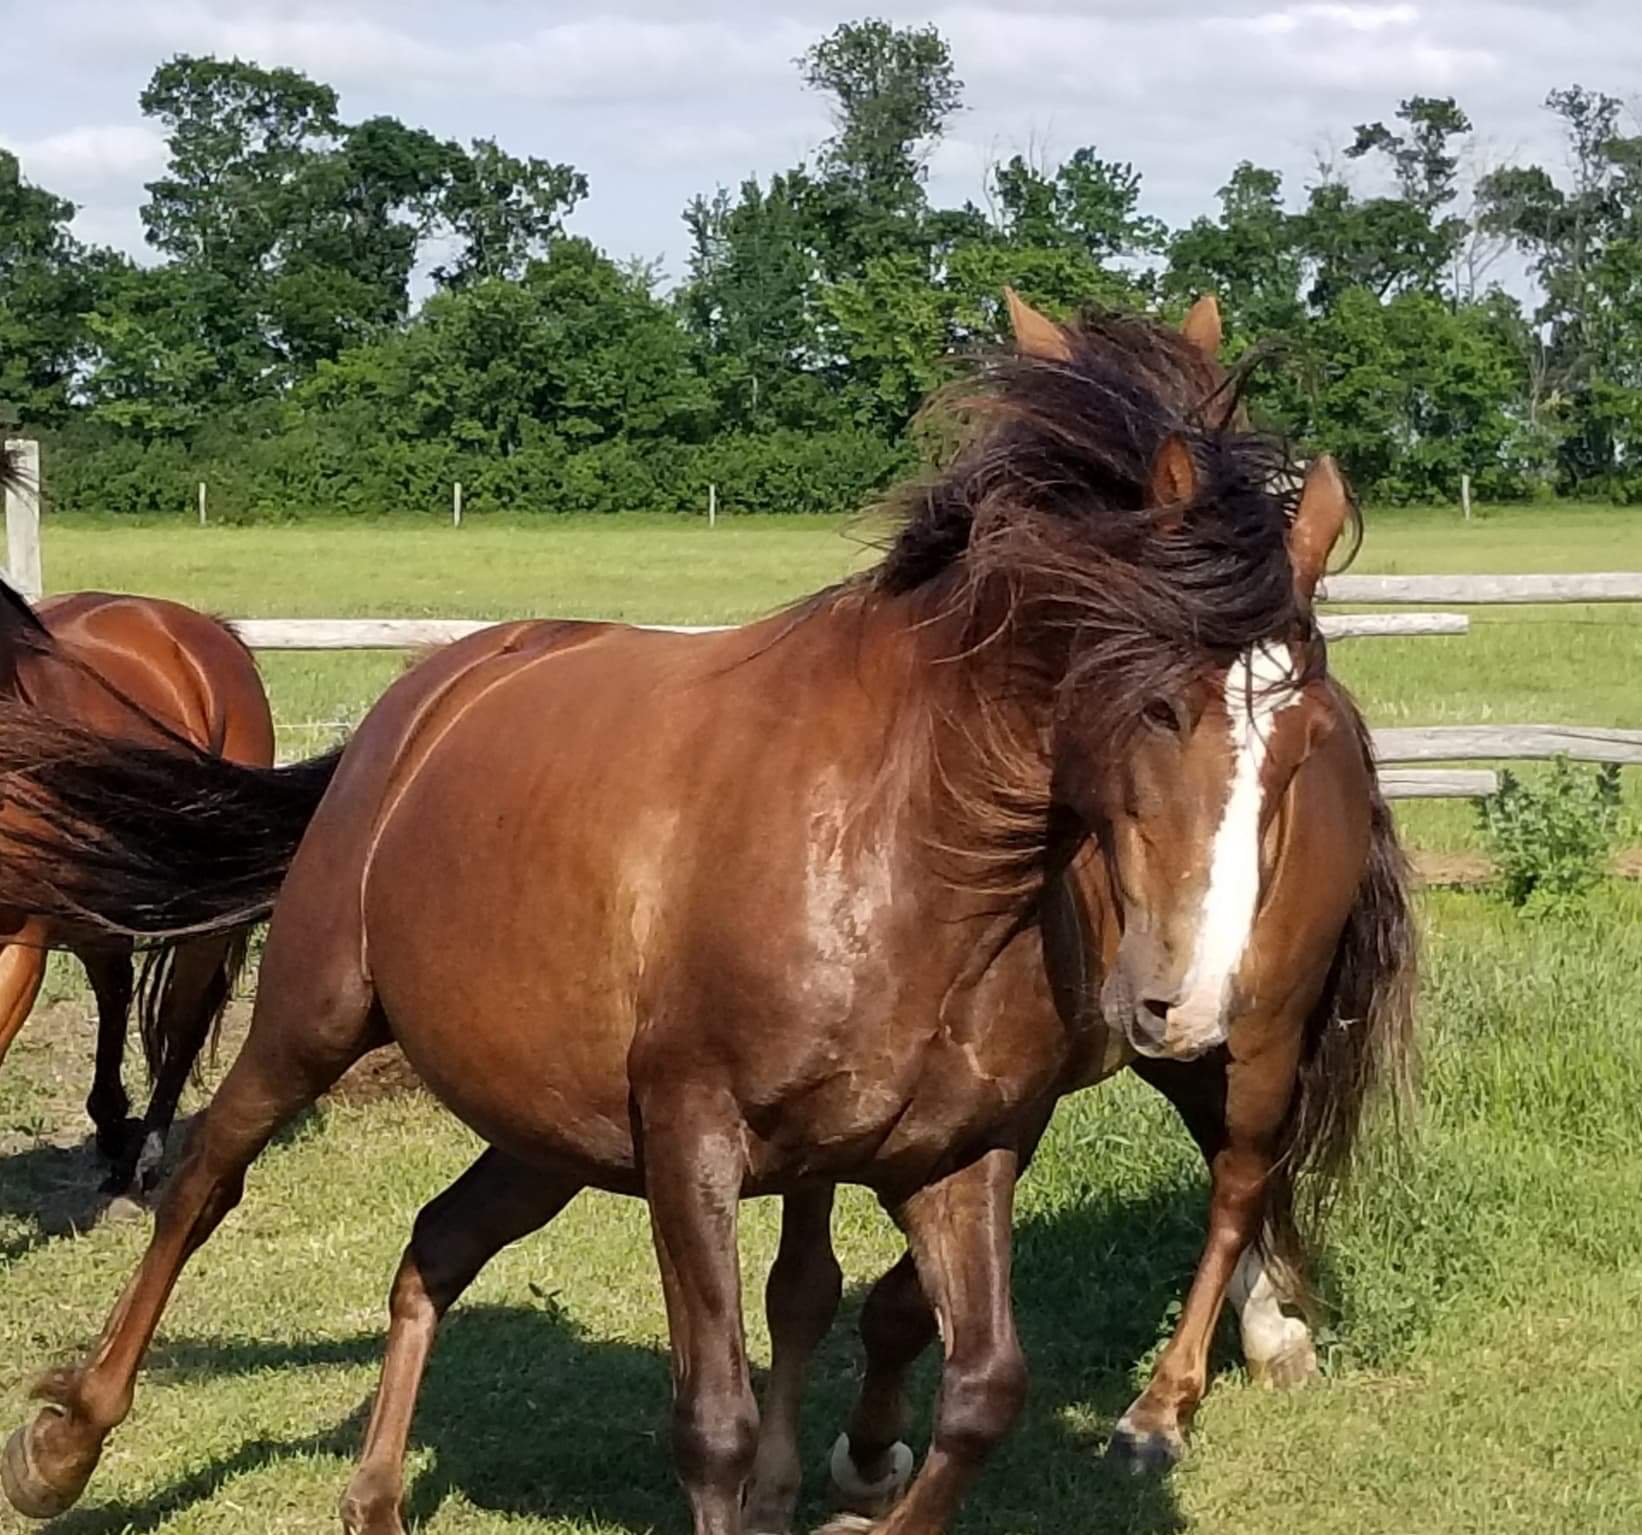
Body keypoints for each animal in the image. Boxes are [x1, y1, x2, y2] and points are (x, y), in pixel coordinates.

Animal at [0, 447, 276, 1201]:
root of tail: (202, 630)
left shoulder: (19, 944)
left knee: (179, 1021)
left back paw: (146, 1159)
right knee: (118, 987)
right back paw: (111, 1132)